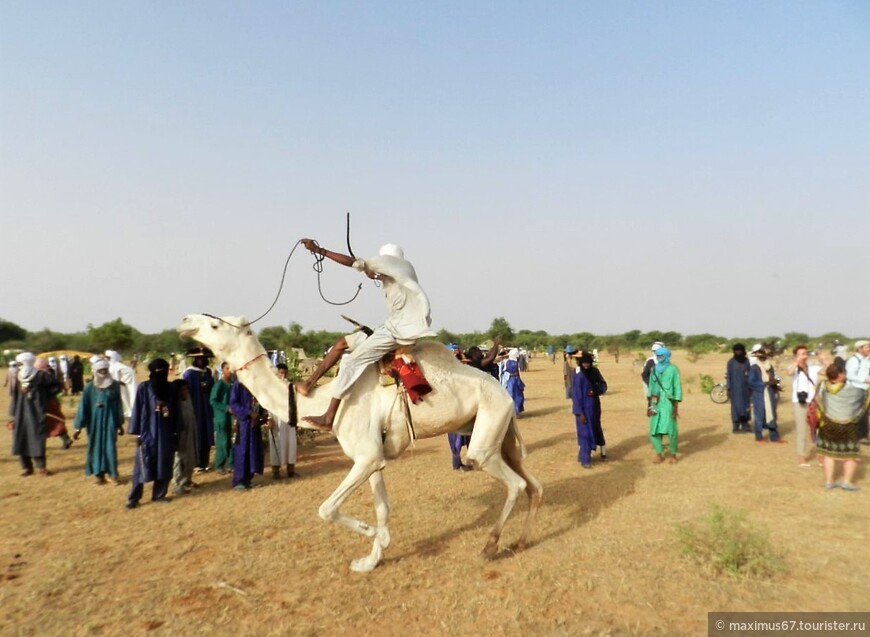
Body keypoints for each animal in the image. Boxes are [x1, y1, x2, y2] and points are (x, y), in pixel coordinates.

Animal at [180, 314, 540, 572]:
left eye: (215, 324)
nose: (185, 322)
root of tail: (503, 392)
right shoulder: (372, 457)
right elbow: (382, 507)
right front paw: (371, 559)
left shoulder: (365, 456)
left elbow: (327, 508)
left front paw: (371, 536)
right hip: (500, 431)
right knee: (533, 484)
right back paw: (521, 541)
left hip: (487, 431)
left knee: (513, 482)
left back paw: (491, 546)